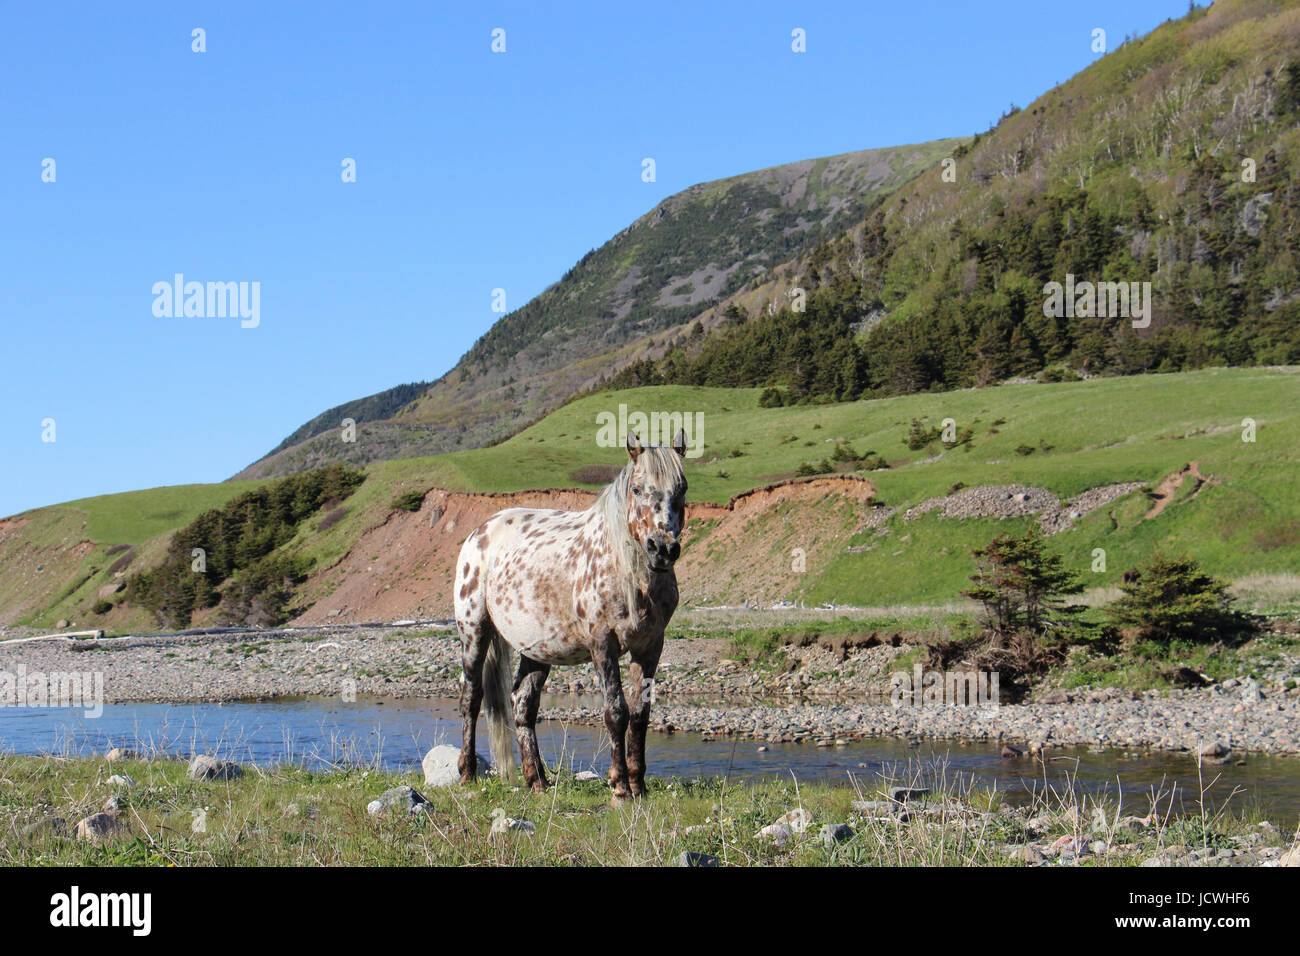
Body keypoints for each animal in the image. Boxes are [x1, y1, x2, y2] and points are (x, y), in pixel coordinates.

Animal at [453, 428, 687, 803]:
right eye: (637, 489)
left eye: (683, 488)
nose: (662, 548)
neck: (626, 570)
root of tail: (480, 532)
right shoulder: (603, 645)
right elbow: (616, 712)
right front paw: (620, 787)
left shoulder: (650, 647)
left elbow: (640, 714)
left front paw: (639, 785)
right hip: (474, 632)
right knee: (471, 700)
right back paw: (467, 774)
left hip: (536, 651)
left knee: (523, 706)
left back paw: (537, 780)